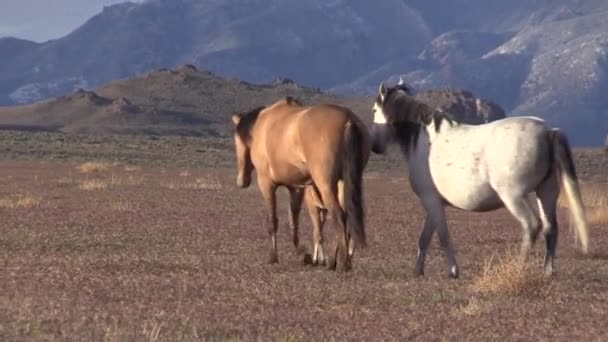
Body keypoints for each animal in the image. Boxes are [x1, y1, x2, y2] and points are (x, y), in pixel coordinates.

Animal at [230, 95, 370, 270]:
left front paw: (273, 256)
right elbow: (293, 221)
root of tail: (348, 120)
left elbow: (273, 221)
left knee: (338, 215)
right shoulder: (296, 187)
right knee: (346, 217)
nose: (241, 181)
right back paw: (335, 260)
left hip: (326, 184)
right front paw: (302, 253)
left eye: (237, 140)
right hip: (344, 183)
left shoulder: (267, 184)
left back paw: (341, 263)